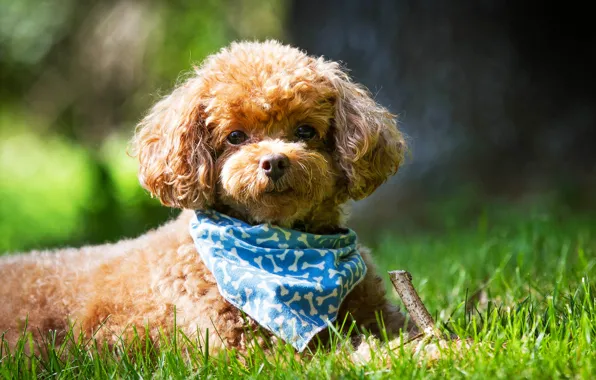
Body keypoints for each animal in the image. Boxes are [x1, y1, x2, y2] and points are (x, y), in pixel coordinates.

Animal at [0, 40, 412, 354]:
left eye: (305, 131)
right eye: (235, 136)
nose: (275, 161)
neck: (284, 244)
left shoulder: (378, 310)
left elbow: (407, 330)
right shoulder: (243, 348)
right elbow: (339, 356)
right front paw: (393, 355)